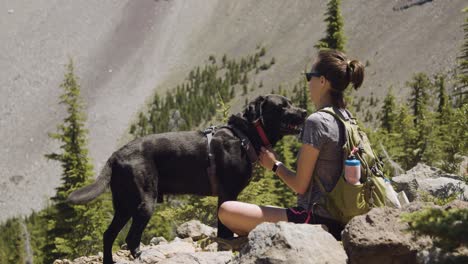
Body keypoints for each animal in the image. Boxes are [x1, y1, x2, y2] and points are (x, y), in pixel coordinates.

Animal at [66, 94, 308, 262]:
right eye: (282, 106)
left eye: (291, 102)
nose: (305, 111)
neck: (244, 136)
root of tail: (116, 155)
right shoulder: (227, 195)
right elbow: (224, 231)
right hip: (144, 202)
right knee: (130, 238)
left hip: (124, 204)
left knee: (108, 235)